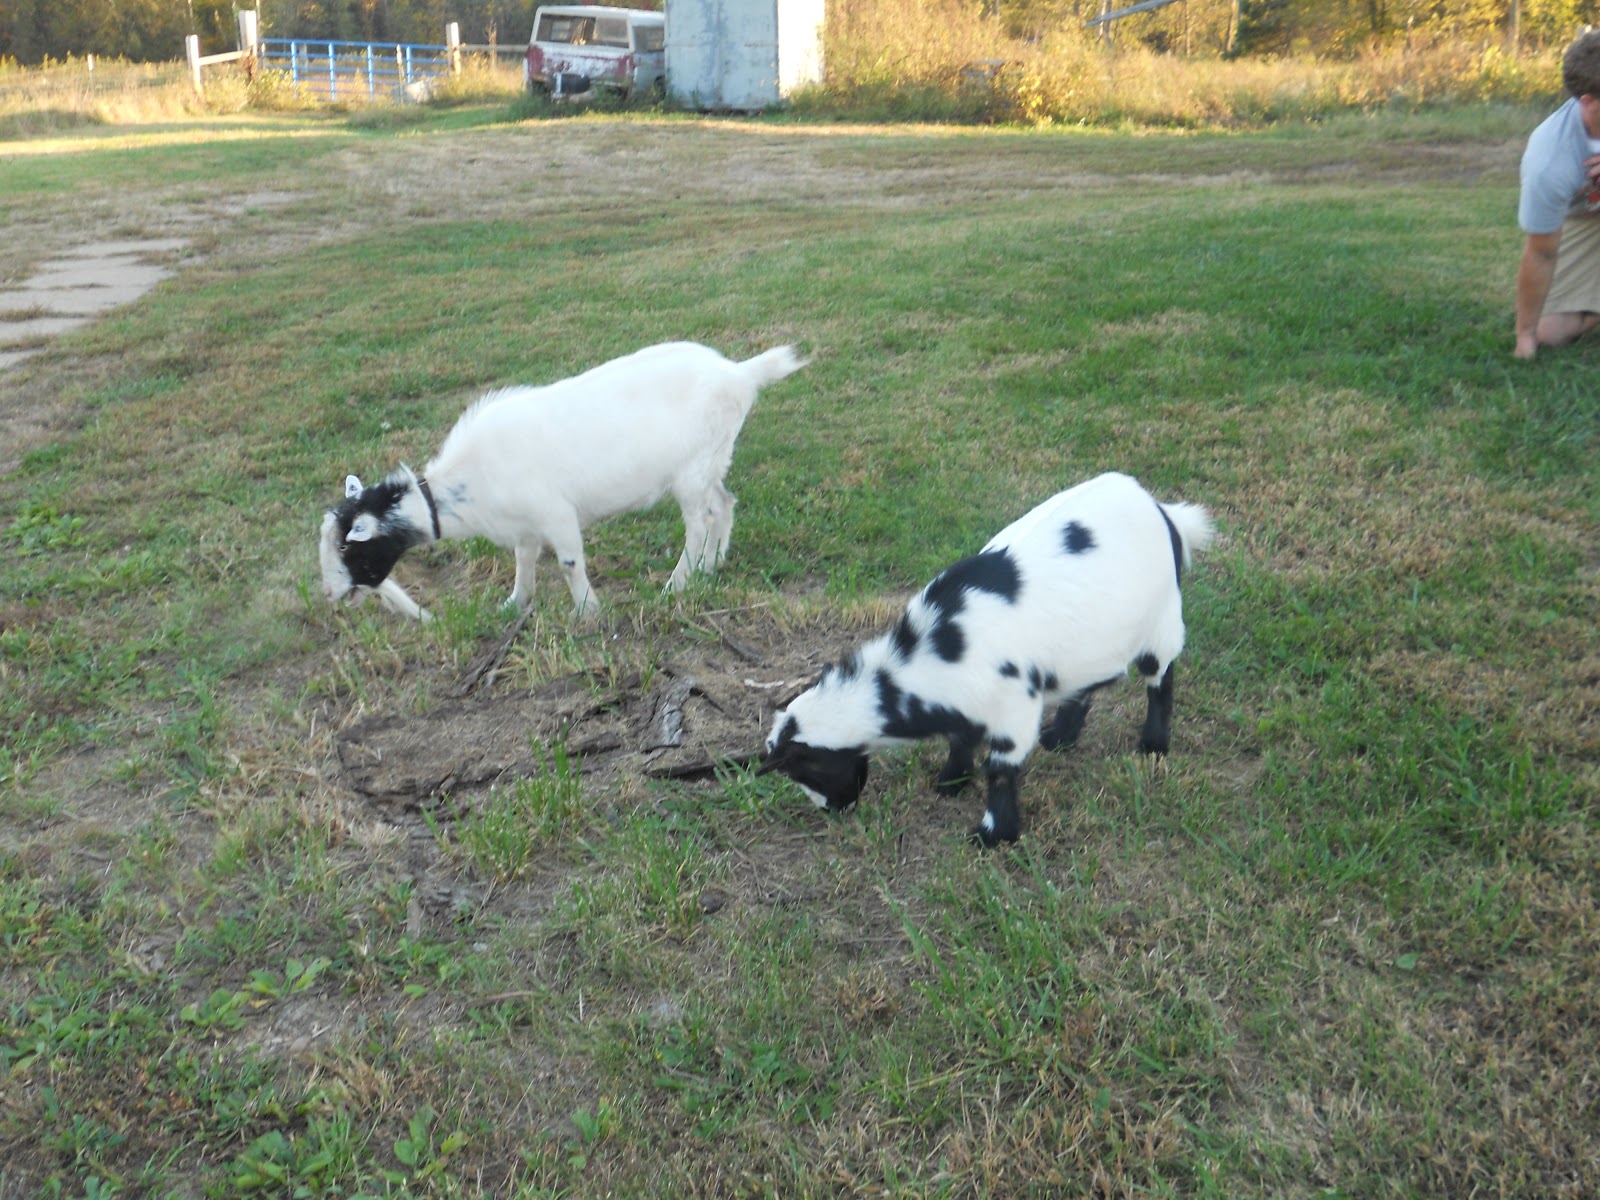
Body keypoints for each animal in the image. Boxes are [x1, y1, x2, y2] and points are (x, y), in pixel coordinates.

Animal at [319, 341, 806, 621]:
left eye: (349, 548)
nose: (330, 593)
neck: (468, 486)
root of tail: (741, 373)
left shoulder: (555, 513)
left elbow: (570, 563)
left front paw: (588, 613)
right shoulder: (525, 525)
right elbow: (523, 561)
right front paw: (515, 603)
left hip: (692, 470)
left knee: (699, 523)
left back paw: (677, 584)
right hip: (712, 460)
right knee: (723, 503)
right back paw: (712, 567)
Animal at [758, 471, 1214, 847]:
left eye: (808, 768)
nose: (834, 809)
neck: (938, 652)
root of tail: (1161, 509)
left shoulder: (1013, 706)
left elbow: (1000, 768)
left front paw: (994, 834)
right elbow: (960, 738)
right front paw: (952, 781)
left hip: (1162, 620)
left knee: (1160, 677)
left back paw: (1153, 745)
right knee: (1088, 682)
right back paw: (1061, 737)